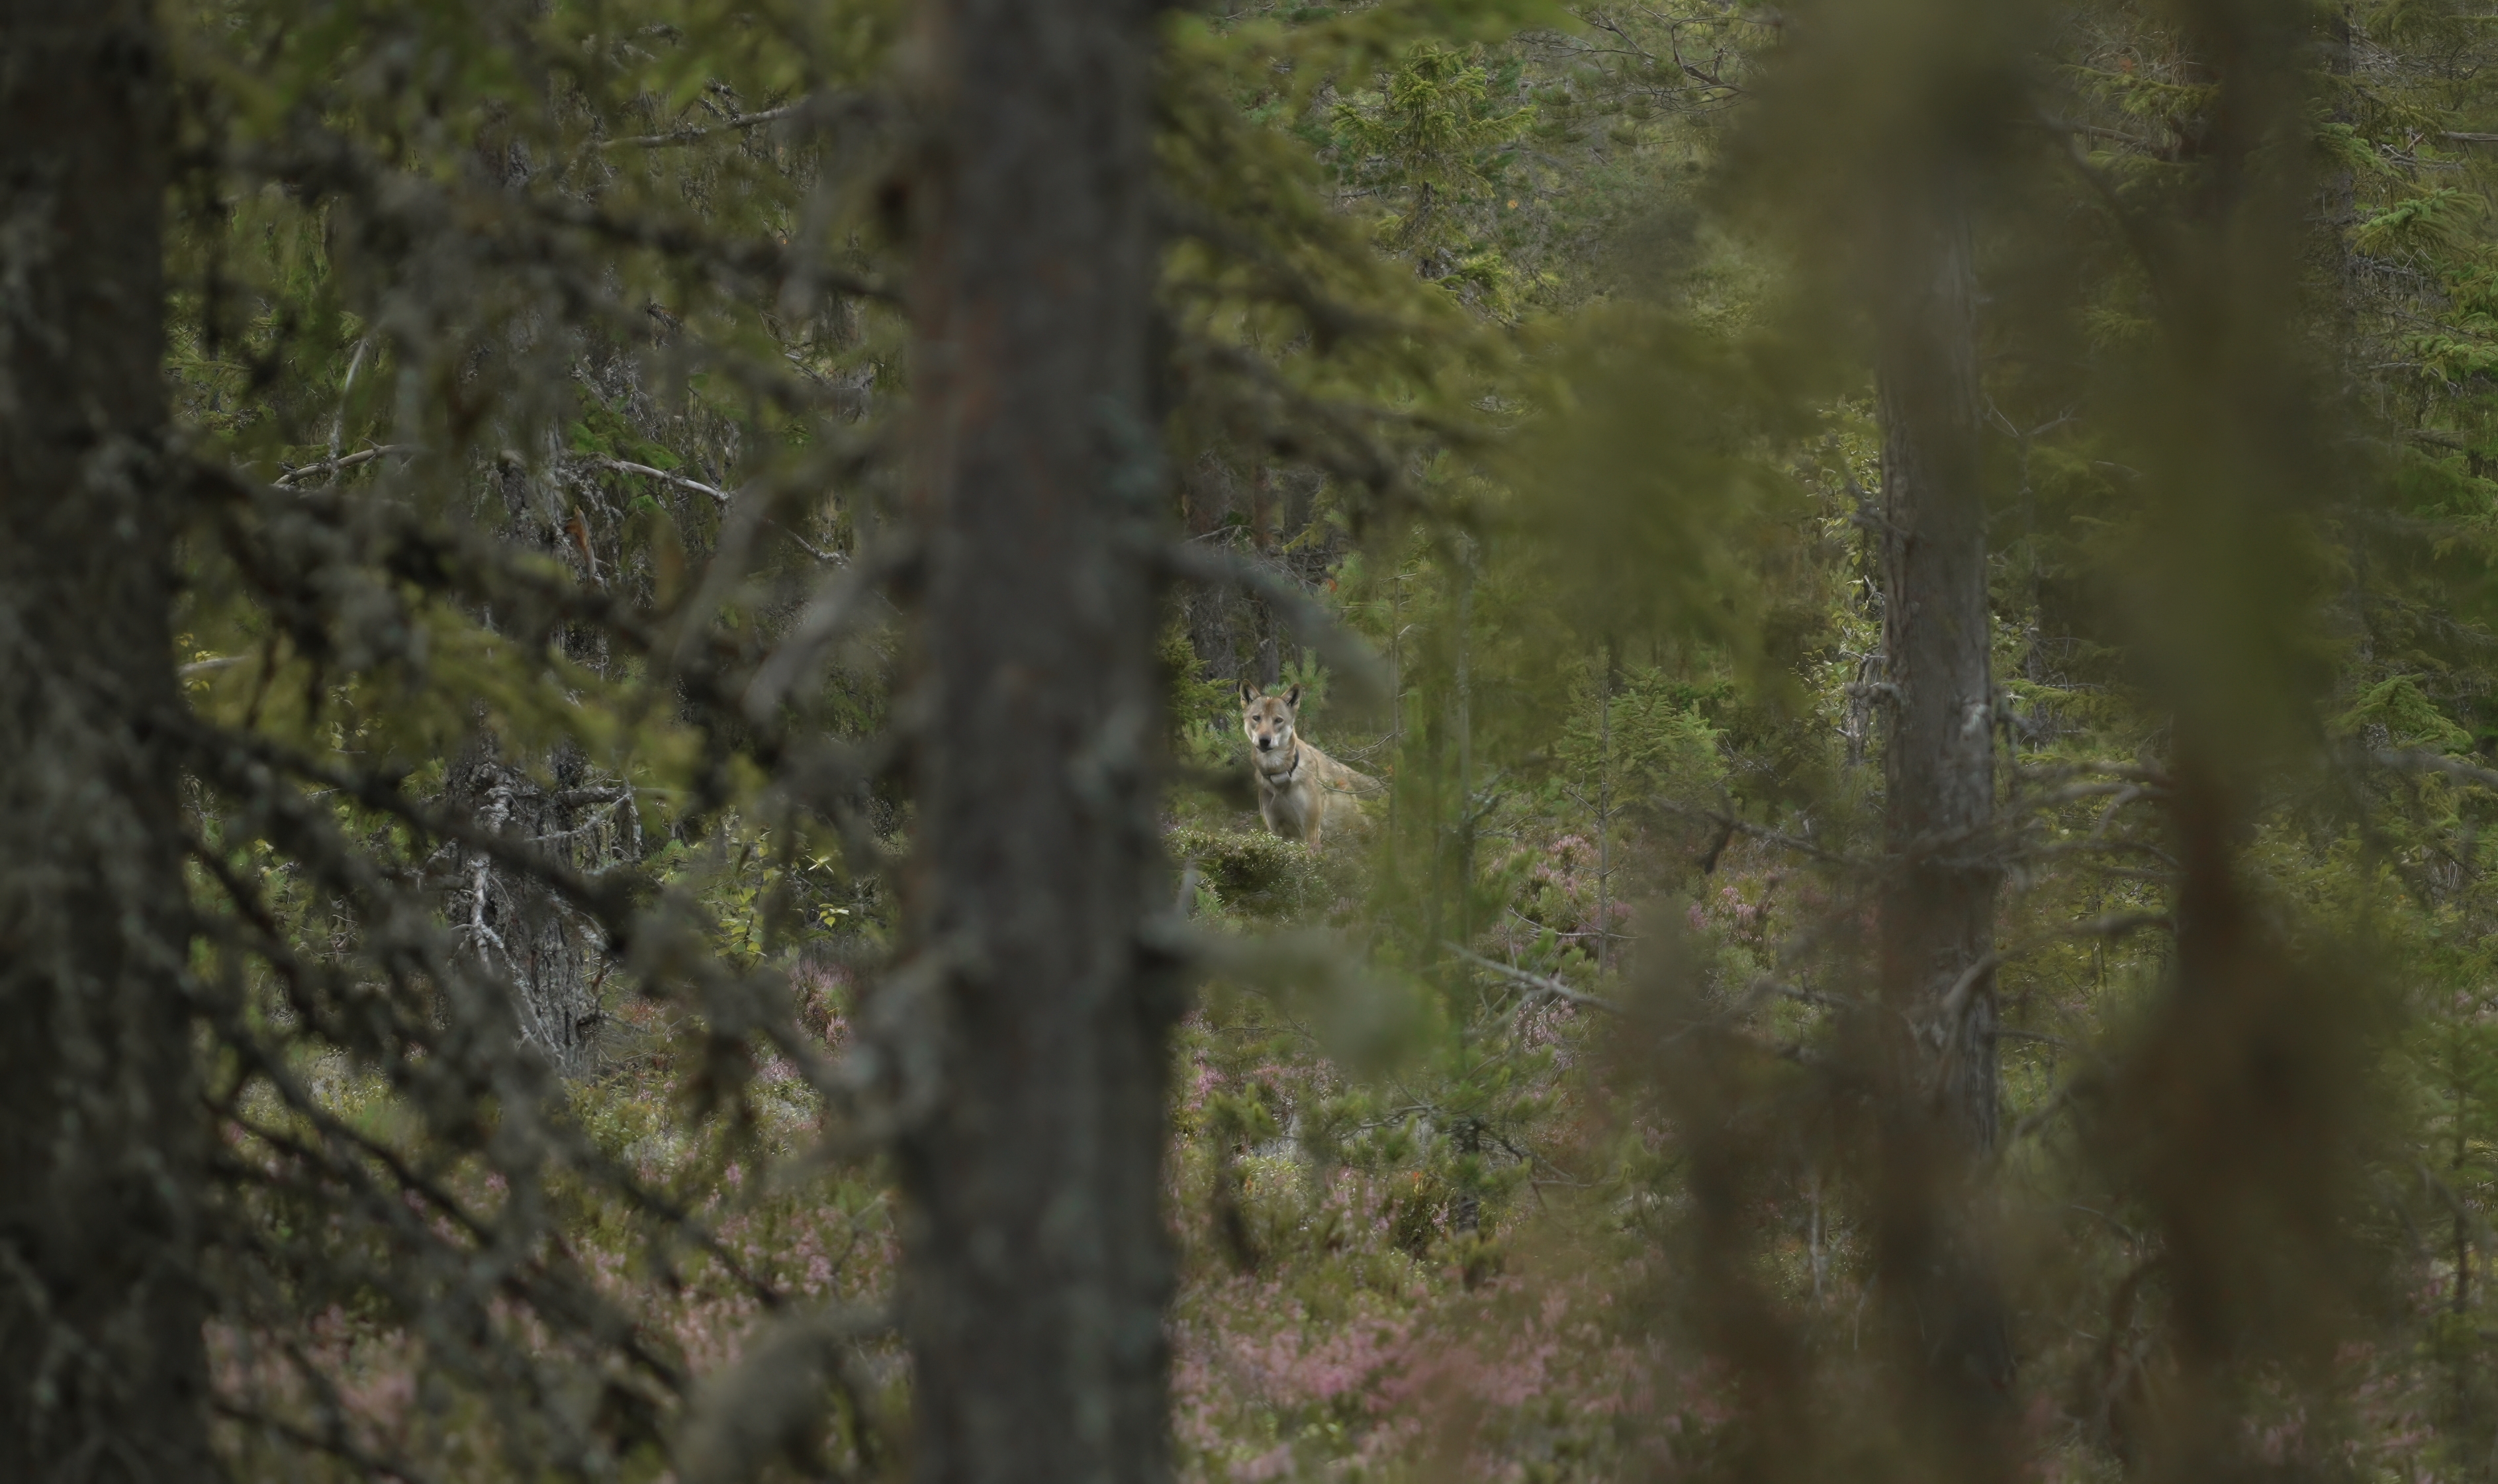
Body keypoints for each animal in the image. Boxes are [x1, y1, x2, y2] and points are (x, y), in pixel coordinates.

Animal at [1239, 681, 1383, 850]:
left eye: (1278, 720)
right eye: (1256, 718)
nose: (1264, 740)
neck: (1280, 775)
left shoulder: (1311, 831)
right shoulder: (1277, 832)